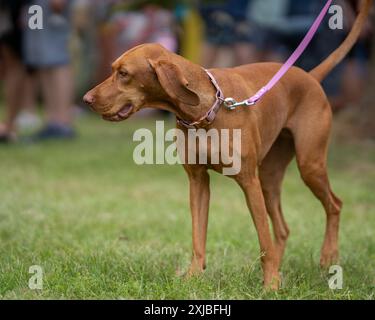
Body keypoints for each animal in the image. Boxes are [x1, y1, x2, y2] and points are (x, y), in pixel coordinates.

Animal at [84, 0, 374, 290]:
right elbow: (198, 237)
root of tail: (310, 76)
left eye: (124, 74)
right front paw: (193, 276)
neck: (205, 113)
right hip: (269, 178)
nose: (86, 99)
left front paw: (270, 285)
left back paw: (327, 257)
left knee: (334, 205)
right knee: (282, 228)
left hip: (308, 164)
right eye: (113, 69)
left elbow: (263, 240)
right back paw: (283, 270)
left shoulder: (248, 181)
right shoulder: (198, 181)